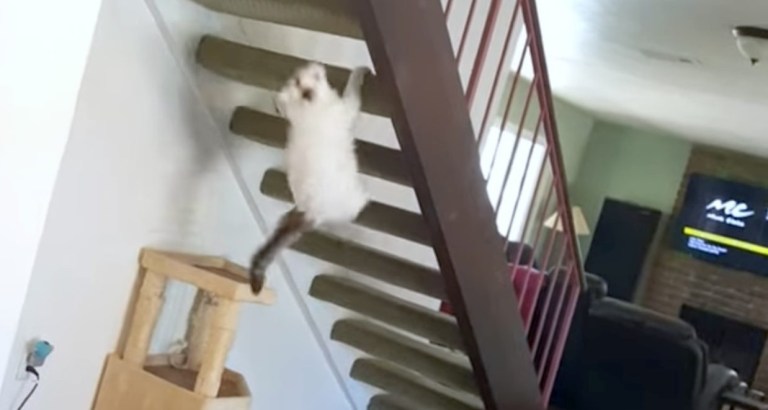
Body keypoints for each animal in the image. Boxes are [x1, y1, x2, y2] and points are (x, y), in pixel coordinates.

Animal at [249, 62, 368, 294]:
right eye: (309, 77)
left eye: (296, 79)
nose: (314, 67)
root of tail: (309, 212)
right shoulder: (347, 108)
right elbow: (353, 89)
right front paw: (360, 71)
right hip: (352, 198)